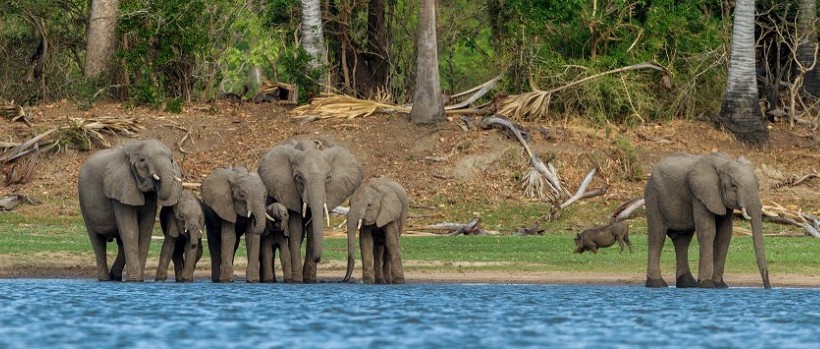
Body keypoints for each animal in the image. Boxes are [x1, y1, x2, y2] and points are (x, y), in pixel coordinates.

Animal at [78, 138, 181, 280]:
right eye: (142, 160)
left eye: (171, 160)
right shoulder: (120, 187)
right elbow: (131, 231)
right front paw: (134, 280)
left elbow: (144, 231)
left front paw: (139, 280)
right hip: (83, 201)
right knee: (98, 242)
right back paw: (104, 279)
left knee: (120, 242)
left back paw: (115, 277)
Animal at [258, 137, 364, 282]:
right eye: (299, 178)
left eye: (328, 178)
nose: (318, 258)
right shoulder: (290, 191)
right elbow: (296, 228)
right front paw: (297, 280)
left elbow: (313, 228)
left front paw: (309, 280)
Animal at [648, 152, 768, 288]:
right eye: (733, 185)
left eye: (758, 185)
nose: (768, 287)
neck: (723, 164)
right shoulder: (700, 195)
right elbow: (707, 232)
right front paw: (707, 285)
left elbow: (724, 235)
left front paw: (720, 285)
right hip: (654, 197)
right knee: (657, 237)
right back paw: (657, 284)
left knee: (682, 241)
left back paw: (688, 284)